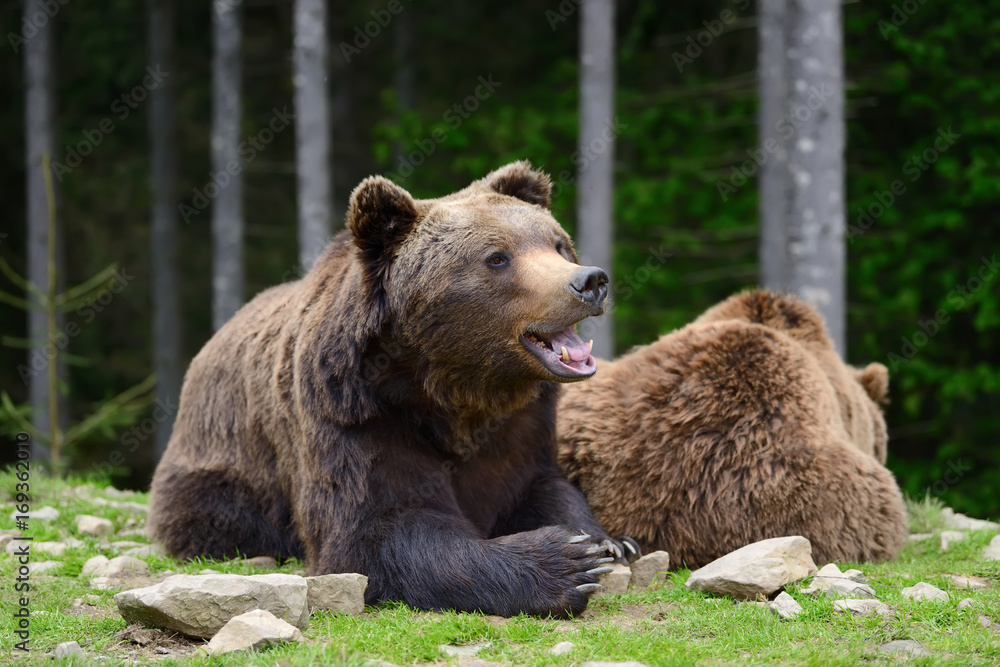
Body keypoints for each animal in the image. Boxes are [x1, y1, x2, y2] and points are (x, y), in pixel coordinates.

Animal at [147, 163, 632, 620]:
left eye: (558, 244)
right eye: (497, 257)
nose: (590, 281)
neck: (453, 390)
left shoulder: (519, 424)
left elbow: (541, 486)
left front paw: (607, 542)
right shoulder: (356, 415)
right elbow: (374, 531)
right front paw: (562, 562)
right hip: (226, 465)